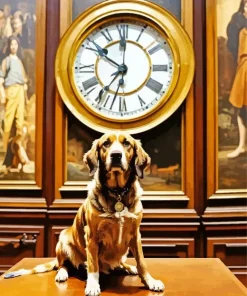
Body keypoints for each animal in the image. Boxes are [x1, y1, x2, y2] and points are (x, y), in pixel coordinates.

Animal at [3, 132, 165, 296]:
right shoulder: (92, 237)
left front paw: (150, 281)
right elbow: (93, 266)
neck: (118, 193)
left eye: (126, 143)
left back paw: (127, 267)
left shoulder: (135, 235)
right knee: (64, 264)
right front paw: (93, 285)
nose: (116, 155)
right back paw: (62, 273)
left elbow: (141, 262)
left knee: (118, 264)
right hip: (63, 238)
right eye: (106, 143)